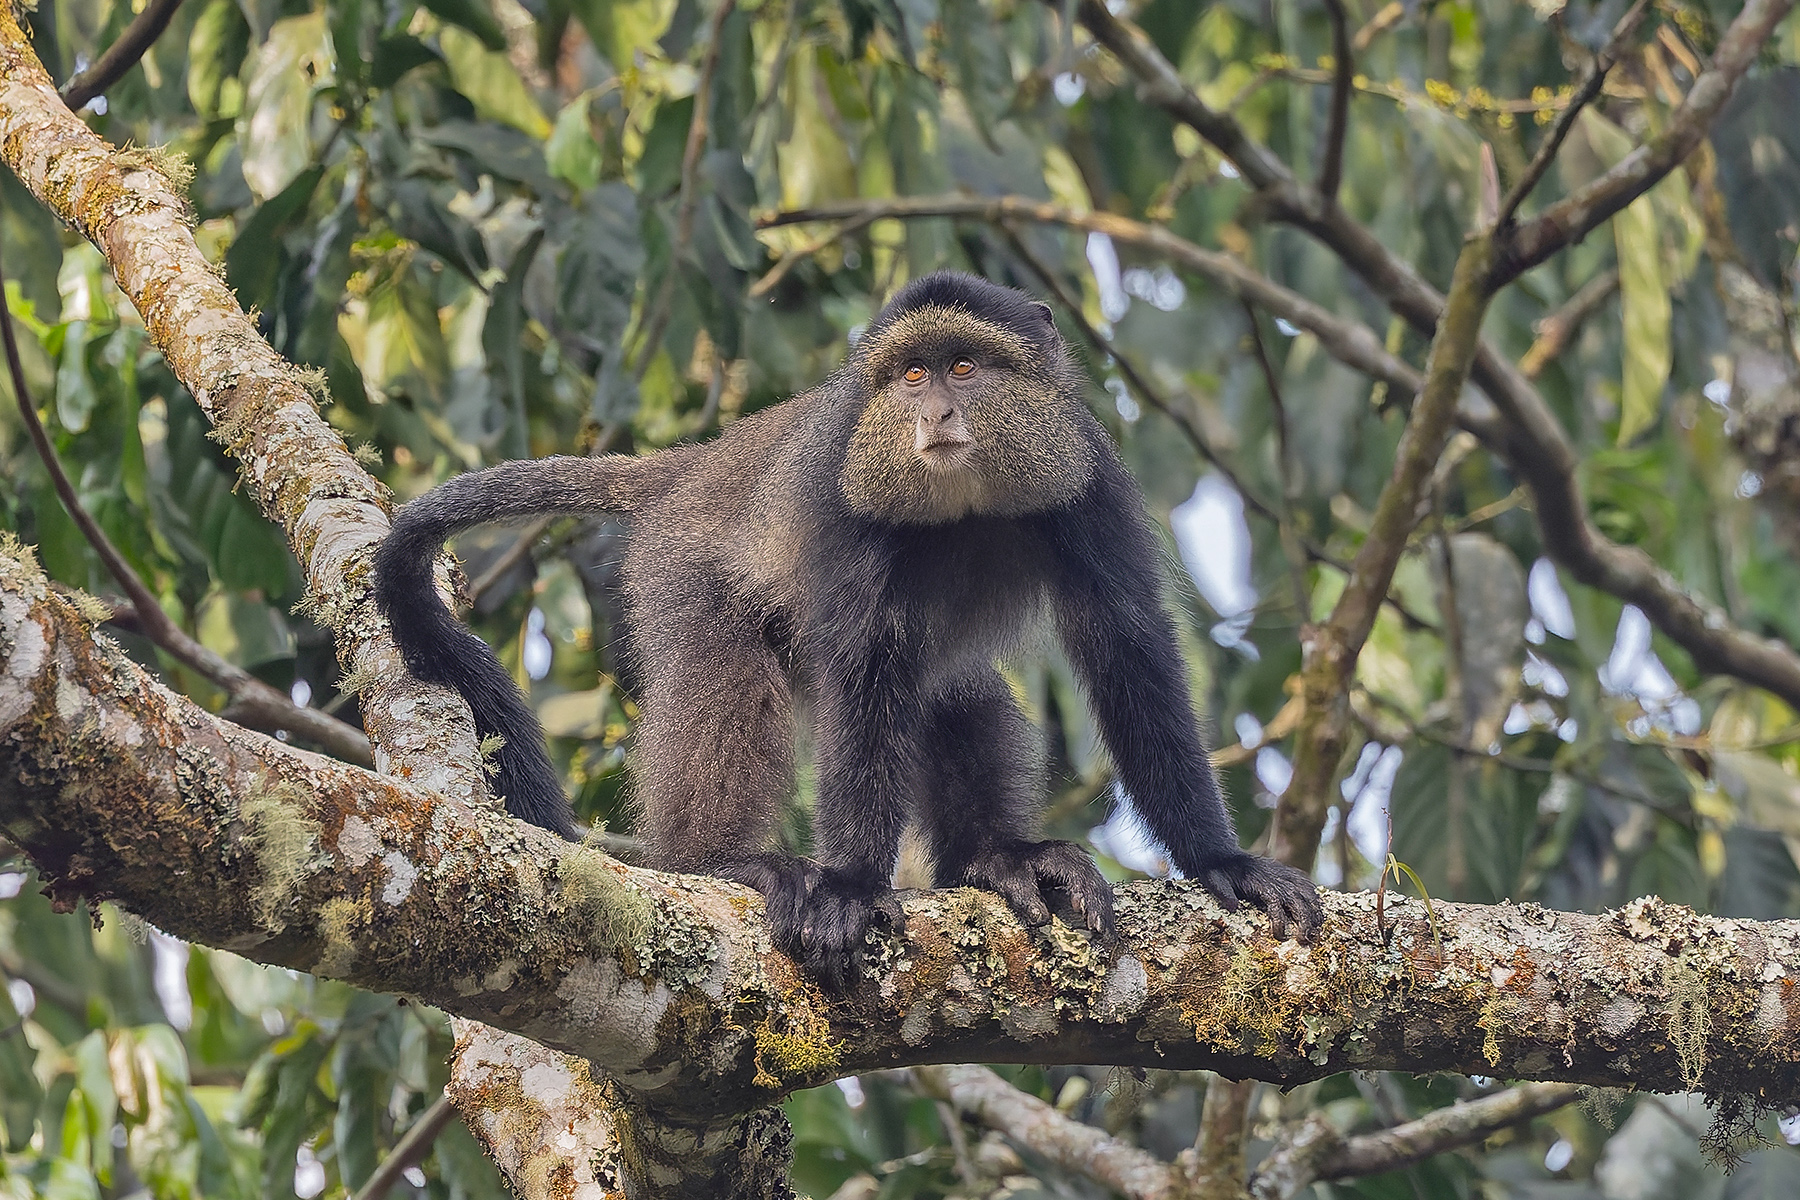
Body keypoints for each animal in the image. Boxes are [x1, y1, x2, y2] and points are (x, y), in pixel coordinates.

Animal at [374, 271, 1322, 990]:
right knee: (729, 676)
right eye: (911, 378)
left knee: (958, 697)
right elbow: (865, 665)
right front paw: (854, 888)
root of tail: (691, 467)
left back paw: (996, 859)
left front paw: (1220, 863)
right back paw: (717, 862)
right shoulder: (844, 504)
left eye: (964, 365)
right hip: (680, 572)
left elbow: (1125, 643)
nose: (935, 416)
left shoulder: (1087, 478)